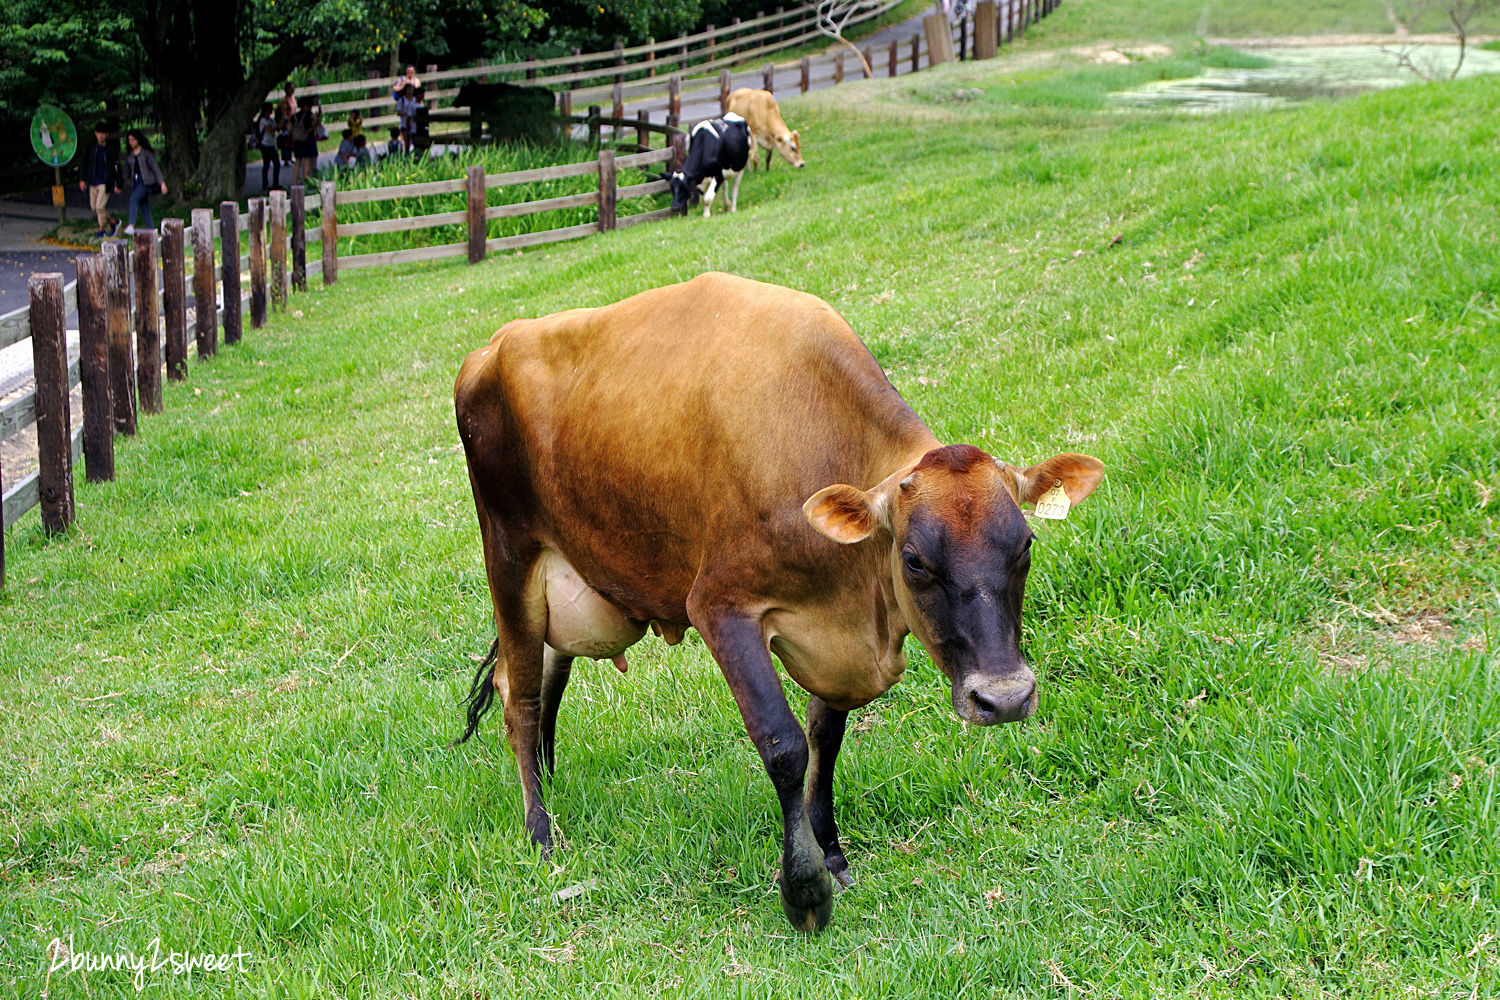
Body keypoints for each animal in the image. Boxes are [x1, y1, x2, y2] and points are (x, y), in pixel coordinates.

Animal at [447, 271, 1104, 929]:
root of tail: (490, 348)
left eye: (1025, 543)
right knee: (519, 698)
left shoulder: (831, 640)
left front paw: (831, 851)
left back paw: (550, 785)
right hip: (511, 561)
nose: (1005, 698)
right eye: (915, 559)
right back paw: (540, 833)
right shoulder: (720, 607)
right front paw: (805, 888)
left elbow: (824, 739)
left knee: (548, 678)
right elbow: (784, 745)